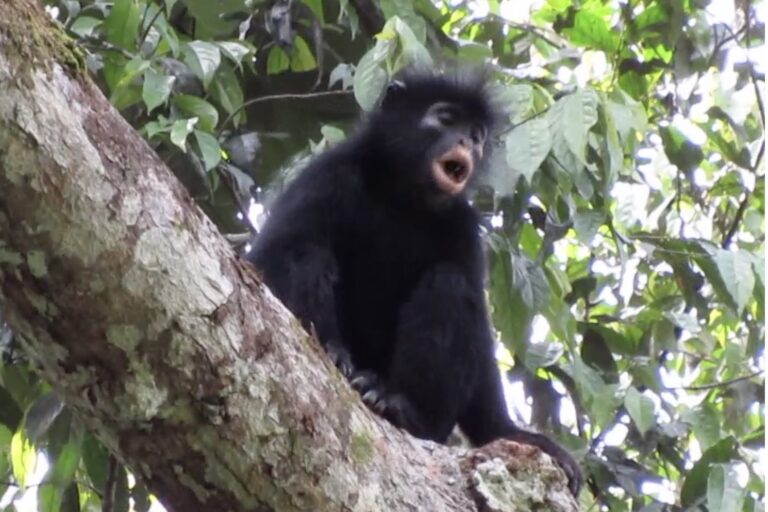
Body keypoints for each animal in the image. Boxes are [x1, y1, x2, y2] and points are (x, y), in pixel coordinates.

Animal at [247, 68, 582, 495]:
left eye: (476, 135)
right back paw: (334, 353)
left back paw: (402, 407)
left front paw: (507, 431)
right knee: (305, 250)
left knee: (449, 283)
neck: (403, 197)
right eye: (445, 119)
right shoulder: (327, 173)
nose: (465, 143)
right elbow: (271, 256)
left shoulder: (461, 226)